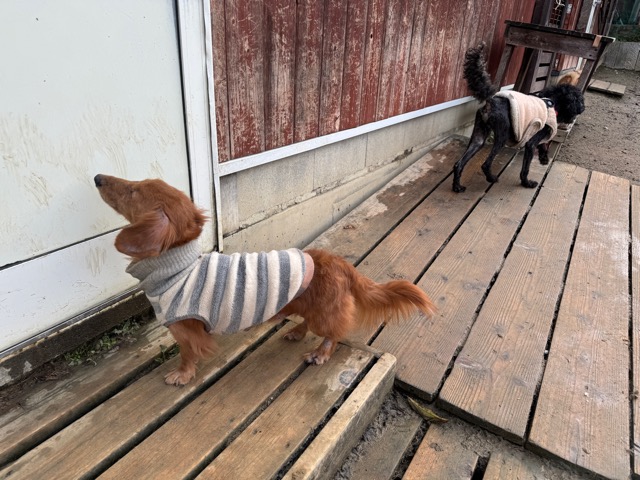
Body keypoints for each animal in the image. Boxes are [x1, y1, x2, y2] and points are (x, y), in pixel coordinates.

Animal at [94, 174, 436, 385]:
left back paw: (320, 353)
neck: (178, 267)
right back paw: (296, 333)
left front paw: (181, 374)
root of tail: (339, 263)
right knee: (307, 321)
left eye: (133, 191)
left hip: (325, 316)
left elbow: (187, 354)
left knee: (333, 333)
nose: (97, 177)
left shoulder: (186, 330)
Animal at [452, 43, 585, 193]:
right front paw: (527, 183)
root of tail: (491, 101)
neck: (552, 103)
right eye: (578, 100)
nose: (581, 109)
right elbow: (526, 168)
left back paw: (457, 186)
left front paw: (544, 158)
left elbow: (544, 144)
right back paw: (492, 178)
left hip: (479, 136)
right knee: (486, 164)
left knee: (459, 163)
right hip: (502, 135)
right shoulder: (531, 142)